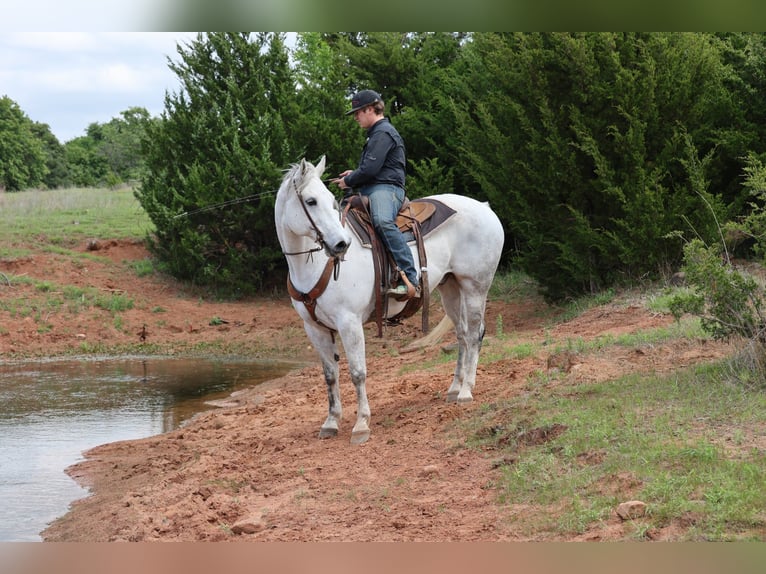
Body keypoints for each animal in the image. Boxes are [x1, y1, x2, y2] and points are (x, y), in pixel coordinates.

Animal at [274, 156, 504, 444]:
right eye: (311, 201)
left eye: (330, 200)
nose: (341, 245)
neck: (314, 265)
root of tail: (484, 208)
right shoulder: (314, 328)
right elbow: (330, 375)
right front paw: (331, 422)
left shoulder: (349, 323)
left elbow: (358, 373)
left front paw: (361, 424)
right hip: (450, 287)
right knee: (461, 335)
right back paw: (454, 388)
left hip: (475, 287)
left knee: (474, 334)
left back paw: (466, 391)